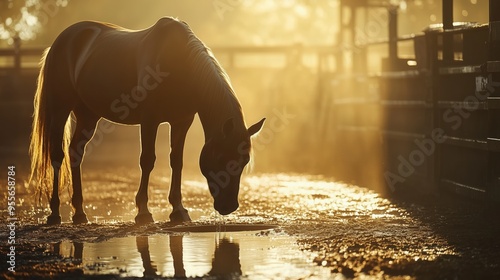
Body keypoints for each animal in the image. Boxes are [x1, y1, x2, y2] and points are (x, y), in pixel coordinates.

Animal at [28, 17, 266, 225]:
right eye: (221, 158)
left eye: (244, 160)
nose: (229, 206)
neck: (180, 65)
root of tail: (60, 42)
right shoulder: (149, 120)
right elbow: (147, 160)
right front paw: (143, 212)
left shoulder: (182, 121)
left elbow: (176, 161)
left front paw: (178, 210)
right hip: (60, 109)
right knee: (57, 156)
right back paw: (55, 213)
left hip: (88, 115)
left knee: (76, 152)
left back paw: (79, 213)